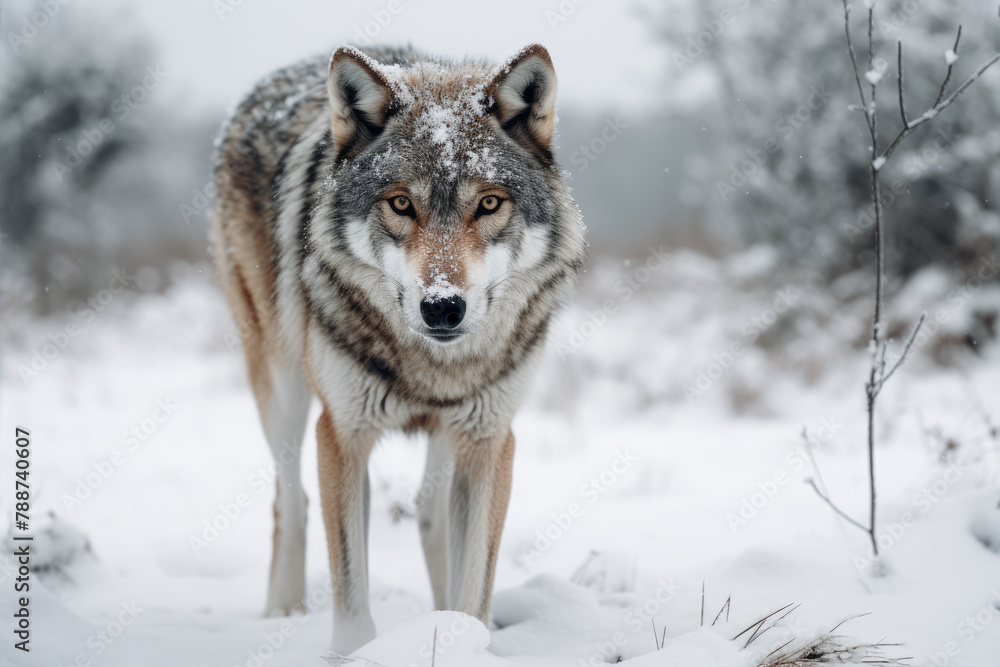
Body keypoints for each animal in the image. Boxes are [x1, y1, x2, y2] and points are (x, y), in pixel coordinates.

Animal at [211, 41, 584, 652]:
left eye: (488, 204)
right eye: (402, 204)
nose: (443, 307)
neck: (433, 367)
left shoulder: (490, 439)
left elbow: (474, 589)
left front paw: (461, 639)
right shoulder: (342, 433)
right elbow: (350, 591)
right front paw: (352, 653)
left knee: (429, 516)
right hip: (282, 390)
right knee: (291, 501)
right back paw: (283, 610)